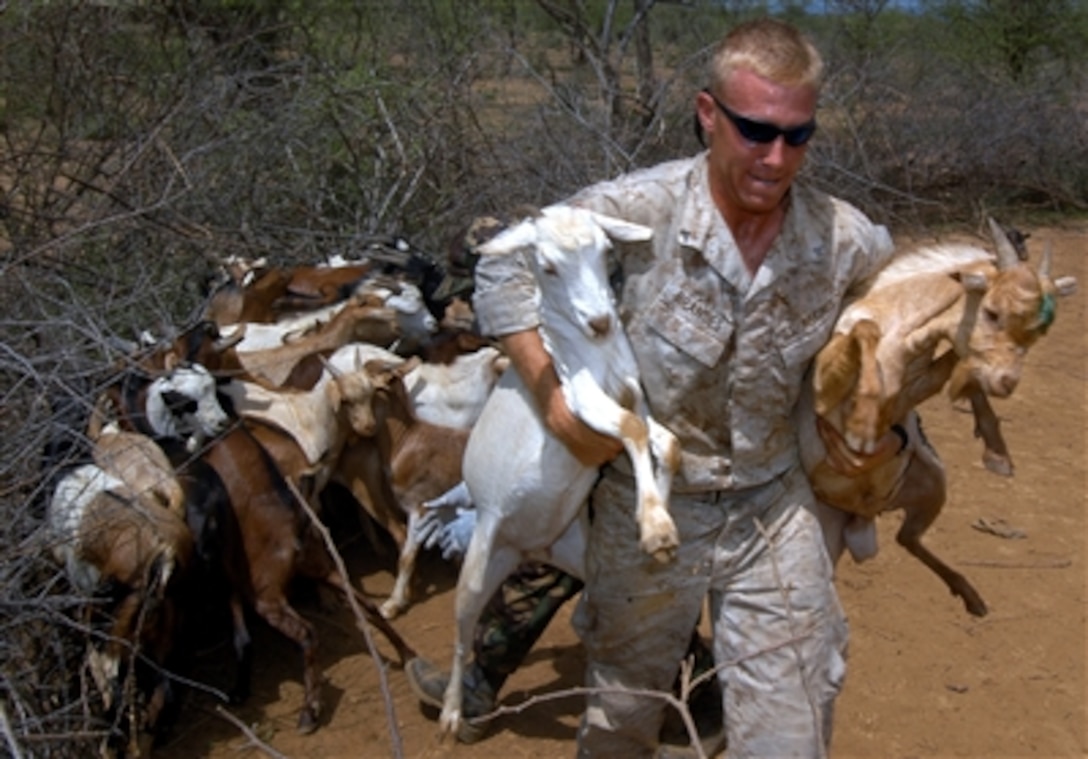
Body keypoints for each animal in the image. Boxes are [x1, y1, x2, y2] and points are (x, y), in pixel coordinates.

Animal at [439, 204, 678, 735]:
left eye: (606, 251)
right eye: (546, 266)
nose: (600, 321)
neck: (595, 354)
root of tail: (529, 547)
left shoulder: (633, 392)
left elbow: (667, 443)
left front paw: (658, 521)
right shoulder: (580, 399)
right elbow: (631, 430)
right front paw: (655, 529)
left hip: (575, 550)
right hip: (480, 559)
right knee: (463, 630)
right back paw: (450, 713)